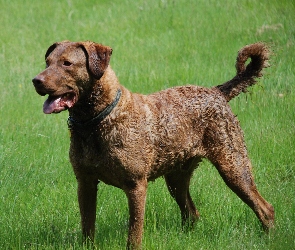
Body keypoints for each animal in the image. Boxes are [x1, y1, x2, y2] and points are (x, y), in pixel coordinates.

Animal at [32, 41, 276, 248]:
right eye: (47, 62)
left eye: (67, 63)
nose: (36, 80)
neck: (97, 122)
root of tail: (217, 92)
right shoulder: (85, 182)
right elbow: (87, 227)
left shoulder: (136, 185)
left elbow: (134, 233)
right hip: (177, 178)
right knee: (191, 212)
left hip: (233, 165)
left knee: (265, 208)